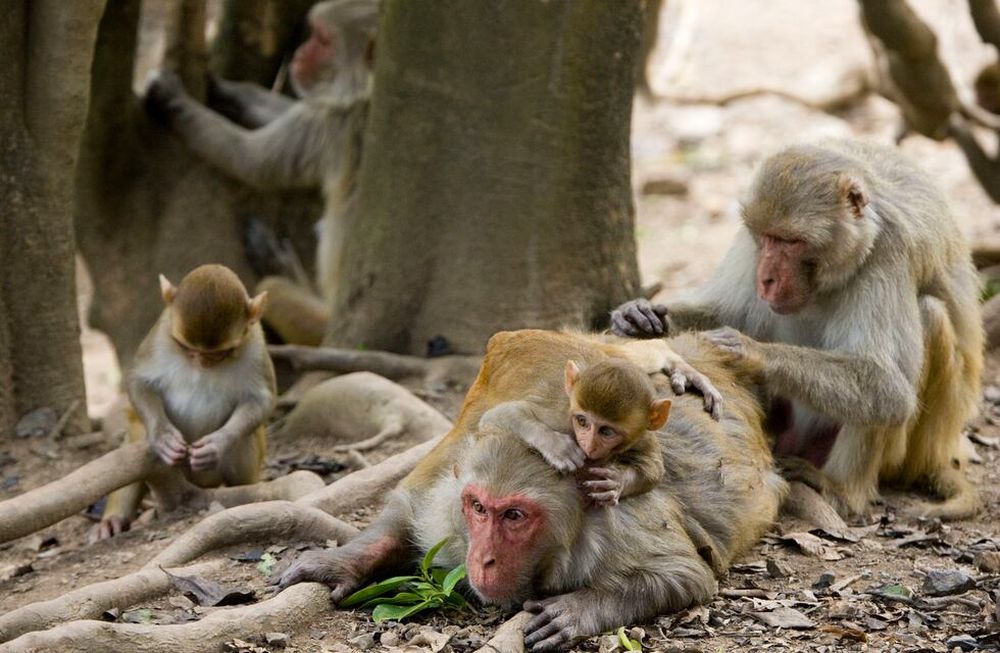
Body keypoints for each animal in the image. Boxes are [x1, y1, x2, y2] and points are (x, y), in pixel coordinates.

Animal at [92, 264, 276, 541]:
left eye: (219, 353)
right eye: (185, 347)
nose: (203, 362)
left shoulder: (256, 342)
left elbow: (262, 400)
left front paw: (216, 445)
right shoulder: (161, 331)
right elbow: (139, 381)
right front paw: (163, 437)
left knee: (246, 438)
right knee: (137, 435)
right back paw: (114, 518)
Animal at [144, 0, 377, 346]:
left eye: (322, 39)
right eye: (314, 34)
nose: (301, 53)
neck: (368, 89)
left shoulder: (335, 122)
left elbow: (251, 160)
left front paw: (171, 101)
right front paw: (230, 91)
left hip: (319, 327)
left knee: (275, 291)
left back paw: (285, 276)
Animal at [277, 329, 786, 651]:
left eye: (515, 516)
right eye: (478, 508)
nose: (483, 559)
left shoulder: (619, 525)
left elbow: (685, 574)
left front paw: (578, 610)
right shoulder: (448, 502)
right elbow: (409, 507)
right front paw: (342, 560)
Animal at [611, 139, 983, 520]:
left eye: (791, 242)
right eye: (765, 238)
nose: (766, 278)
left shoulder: (891, 253)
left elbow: (889, 388)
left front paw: (748, 351)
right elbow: (726, 310)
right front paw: (638, 316)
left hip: (912, 451)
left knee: (927, 317)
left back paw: (842, 490)